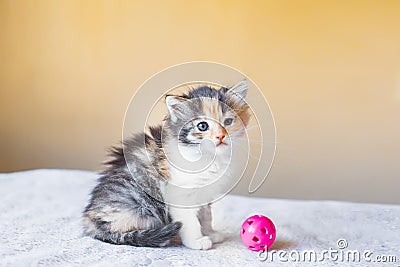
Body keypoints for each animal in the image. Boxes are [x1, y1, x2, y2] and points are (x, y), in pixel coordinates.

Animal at [83, 79, 252, 249]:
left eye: (228, 122)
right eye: (202, 126)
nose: (220, 136)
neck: (208, 158)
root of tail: (89, 218)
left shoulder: (205, 194)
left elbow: (206, 216)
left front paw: (210, 233)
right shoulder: (180, 194)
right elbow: (190, 221)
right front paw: (196, 241)